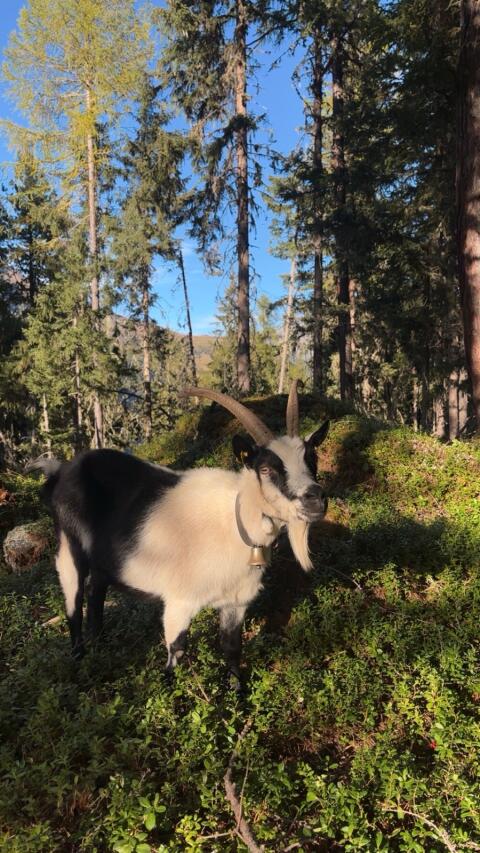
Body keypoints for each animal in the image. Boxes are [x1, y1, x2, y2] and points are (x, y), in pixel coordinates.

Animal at [30, 383, 329, 686]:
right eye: (266, 469)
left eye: (312, 458)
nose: (315, 499)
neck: (234, 524)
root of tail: (63, 470)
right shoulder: (179, 601)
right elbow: (177, 651)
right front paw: (167, 688)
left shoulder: (236, 600)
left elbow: (232, 648)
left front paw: (238, 691)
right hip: (68, 547)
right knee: (74, 602)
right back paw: (80, 661)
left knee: (96, 589)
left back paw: (101, 648)